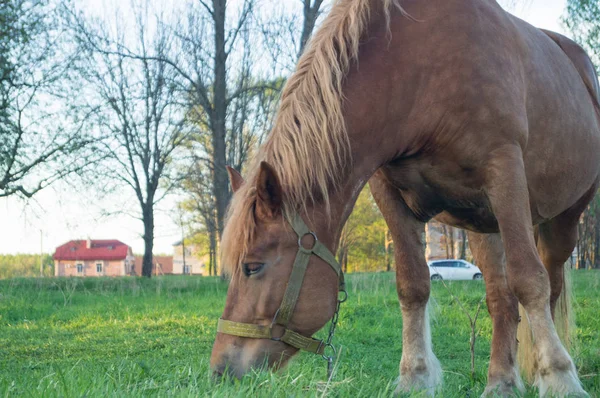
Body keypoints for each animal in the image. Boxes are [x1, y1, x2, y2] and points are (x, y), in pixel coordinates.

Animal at [209, 0, 596, 394]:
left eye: (252, 266)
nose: (220, 369)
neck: (421, 74)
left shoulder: (504, 171)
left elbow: (529, 280)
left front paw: (560, 377)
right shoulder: (388, 192)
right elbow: (412, 285)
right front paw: (415, 377)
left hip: (562, 221)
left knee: (549, 284)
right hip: (484, 227)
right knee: (500, 298)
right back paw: (501, 382)